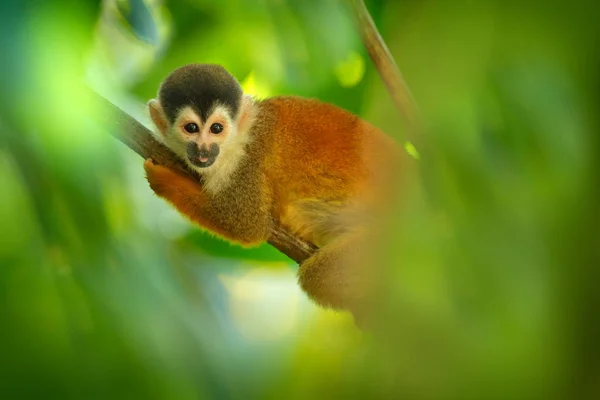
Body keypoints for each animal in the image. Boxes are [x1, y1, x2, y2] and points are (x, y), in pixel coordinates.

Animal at [145, 64, 398, 318]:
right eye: (191, 128)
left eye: (216, 128)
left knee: (315, 277)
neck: (244, 134)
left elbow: (248, 225)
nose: (203, 149)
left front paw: (162, 179)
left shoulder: (249, 160)